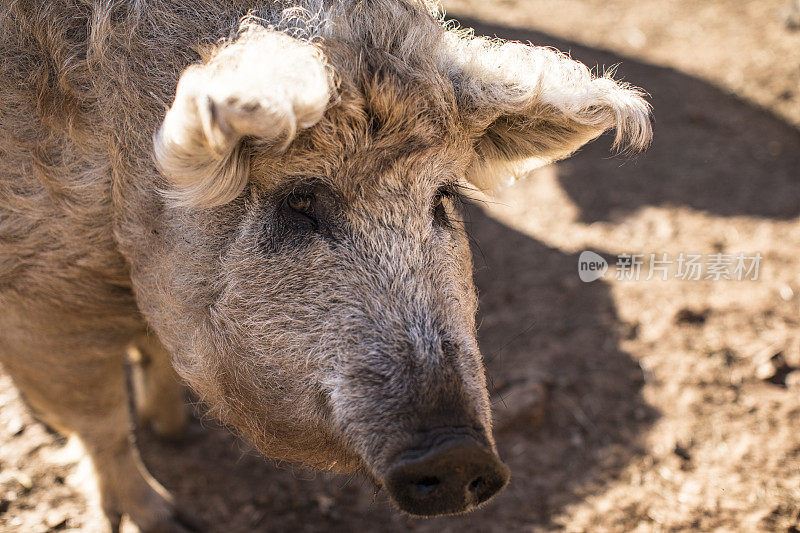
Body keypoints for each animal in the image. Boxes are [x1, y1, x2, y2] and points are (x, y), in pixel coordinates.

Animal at [0, 0, 648, 528]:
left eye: (443, 197)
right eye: (299, 201)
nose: (460, 455)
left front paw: (173, 430)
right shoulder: (43, 301)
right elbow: (103, 423)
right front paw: (169, 520)